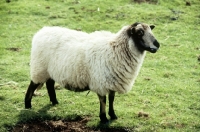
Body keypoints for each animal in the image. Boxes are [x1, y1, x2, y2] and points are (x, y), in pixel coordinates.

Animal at [24, 22, 159, 123]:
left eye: (150, 30)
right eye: (140, 32)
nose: (157, 45)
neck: (116, 48)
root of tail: (42, 31)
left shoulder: (112, 81)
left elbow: (112, 99)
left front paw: (113, 115)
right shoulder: (101, 82)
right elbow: (103, 100)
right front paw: (103, 118)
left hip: (51, 70)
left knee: (50, 84)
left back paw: (55, 102)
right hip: (39, 68)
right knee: (32, 85)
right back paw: (27, 106)